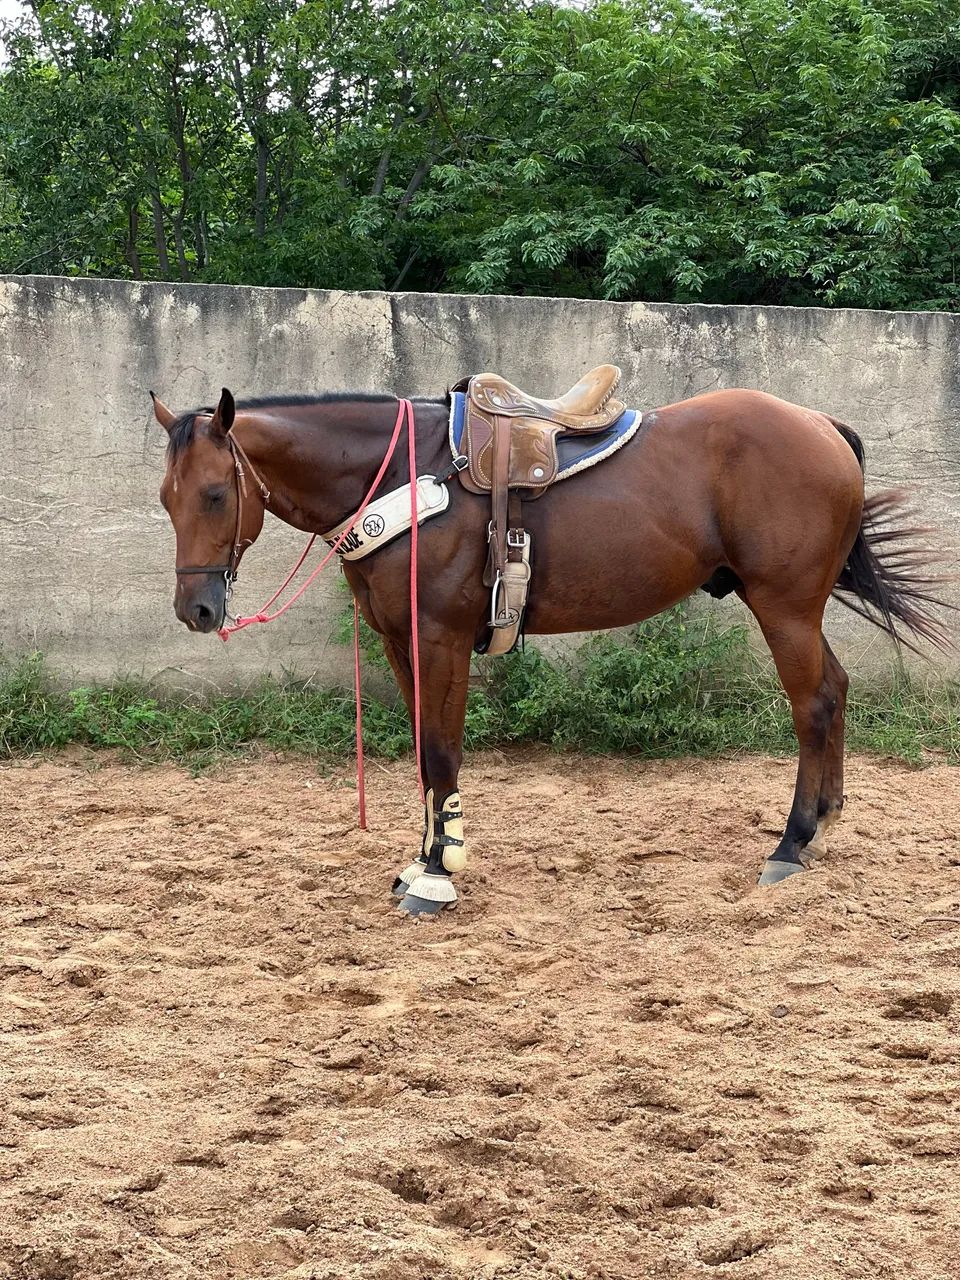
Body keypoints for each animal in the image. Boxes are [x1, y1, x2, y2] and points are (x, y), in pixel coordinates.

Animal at [151, 377, 950, 916]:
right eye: (167, 497)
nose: (195, 609)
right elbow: (423, 755)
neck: (407, 472)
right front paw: (419, 861)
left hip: (785, 606)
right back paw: (823, 825)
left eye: (217, 494)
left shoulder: (441, 639)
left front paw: (438, 874)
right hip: (797, 609)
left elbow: (442, 752)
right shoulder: (401, 644)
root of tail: (821, 425)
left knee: (813, 703)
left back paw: (790, 845)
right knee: (835, 691)